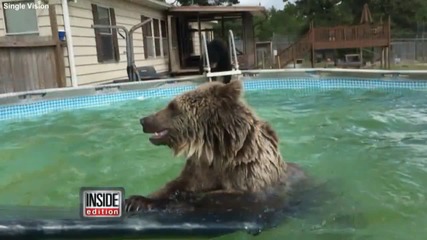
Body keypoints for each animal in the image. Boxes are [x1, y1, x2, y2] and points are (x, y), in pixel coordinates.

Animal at [125, 79, 310, 221]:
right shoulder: (200, 167)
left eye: (173, 106)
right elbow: (174, 185)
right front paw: (136, 200)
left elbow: (224, 198)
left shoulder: (250, 176)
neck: (216, 150)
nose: (144, 120)